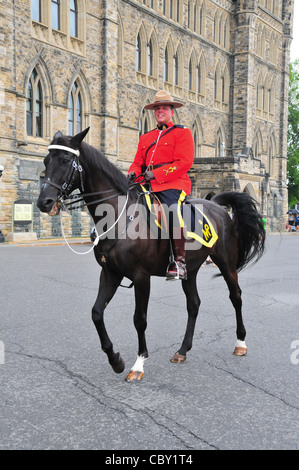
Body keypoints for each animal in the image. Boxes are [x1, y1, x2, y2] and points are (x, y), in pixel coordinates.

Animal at [36, 127, 266, 382]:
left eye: (66, 160)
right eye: (46, 160)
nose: (44, 202)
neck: (120, 215)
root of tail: (216, 204)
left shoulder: (141, 277)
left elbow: (139, 319)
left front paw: (138, 364)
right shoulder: (110, 273)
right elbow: (96, 313)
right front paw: (115, 359)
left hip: (226, 263)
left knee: (236, 296)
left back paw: (240, 343)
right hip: (190, 269)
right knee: (194, 304)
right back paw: (182, 350)